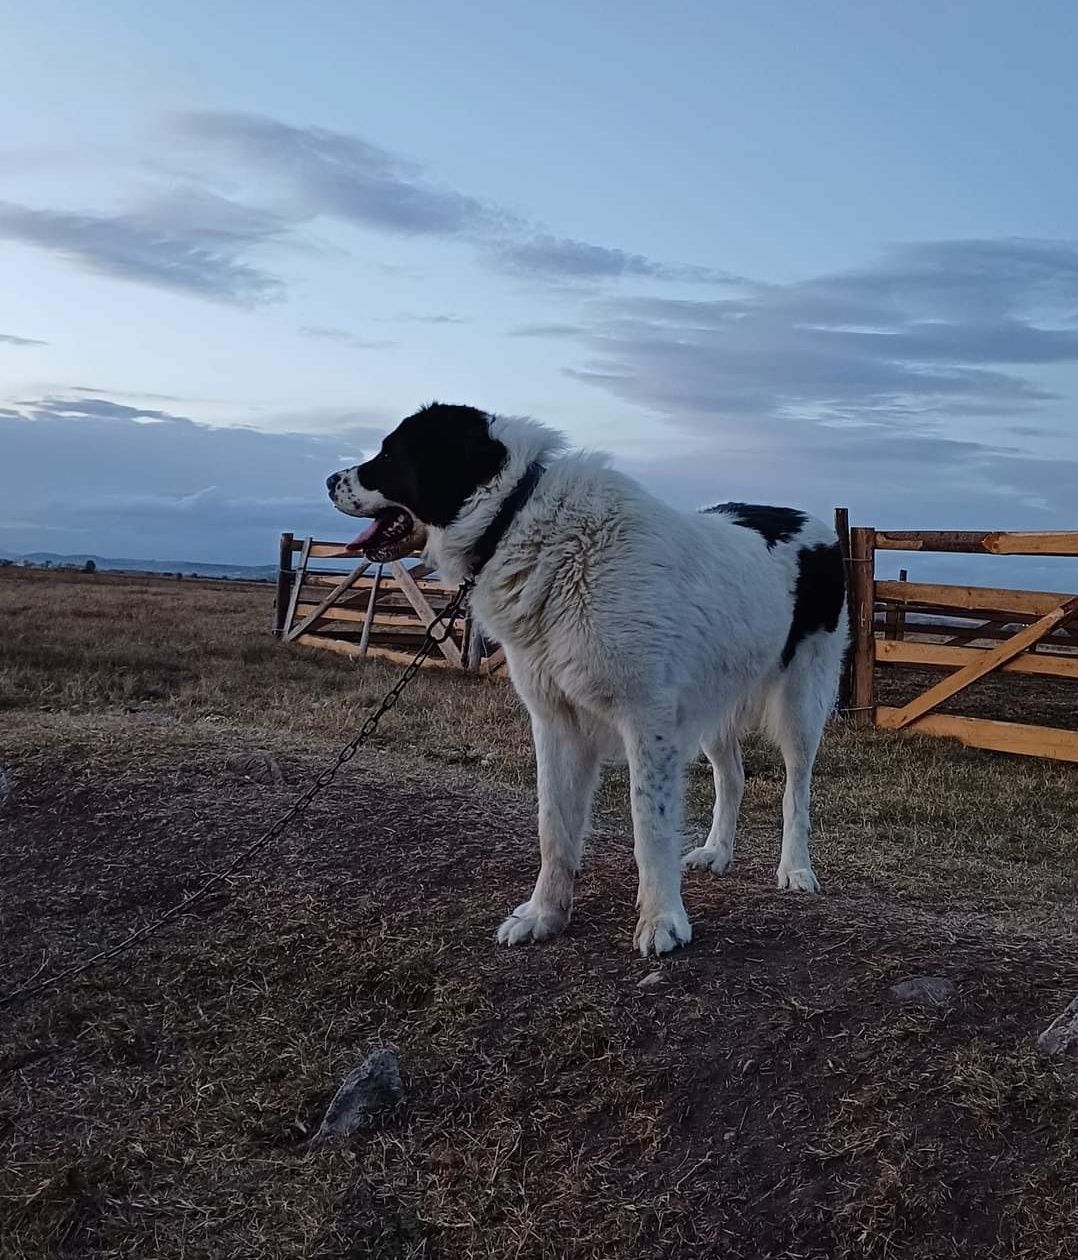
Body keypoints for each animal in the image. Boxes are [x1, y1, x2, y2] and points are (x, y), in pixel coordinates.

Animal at [324, 403, 846, 952]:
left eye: (389, 454)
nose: (329, 481)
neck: (515, 519)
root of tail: (811, 521)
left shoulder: (648, 722)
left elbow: (649, 825)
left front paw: (661, 919)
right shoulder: (556, 721)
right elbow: (553, 827)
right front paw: (545, 915)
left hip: (802, 702)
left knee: (796, 790)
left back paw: (796, 869)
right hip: (714, 697)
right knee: (733, 776)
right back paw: (717, 852)